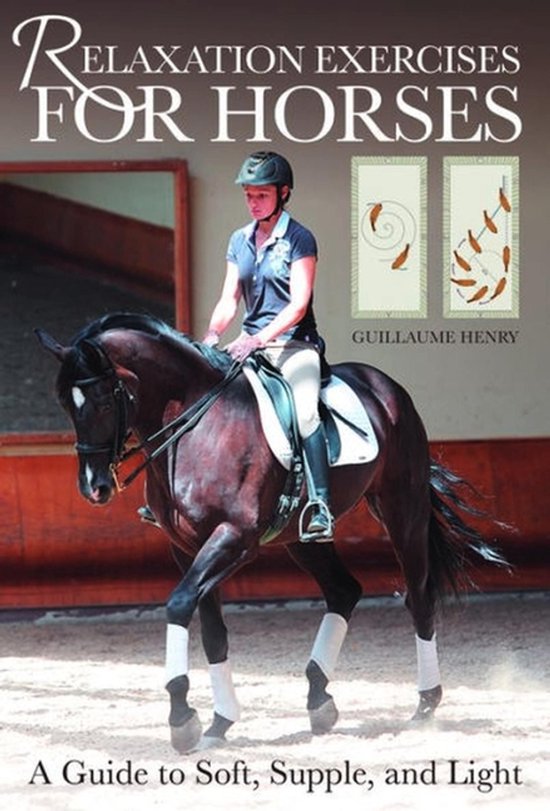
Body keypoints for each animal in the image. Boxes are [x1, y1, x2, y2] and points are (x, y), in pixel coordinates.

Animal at [36, 312, 506, 752]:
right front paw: (219, 723)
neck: (197, 428)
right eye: (65, 403)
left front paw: (182, 718)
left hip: (401, 509)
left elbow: (179, 605)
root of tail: (385, 386)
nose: (94, 487)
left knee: (418, 595)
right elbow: (212, 633)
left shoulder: (234, 537)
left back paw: (425, 705)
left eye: (101, 400)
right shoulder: (187, 547)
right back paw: (319, 700)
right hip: (300, 538)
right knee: (344, 590)